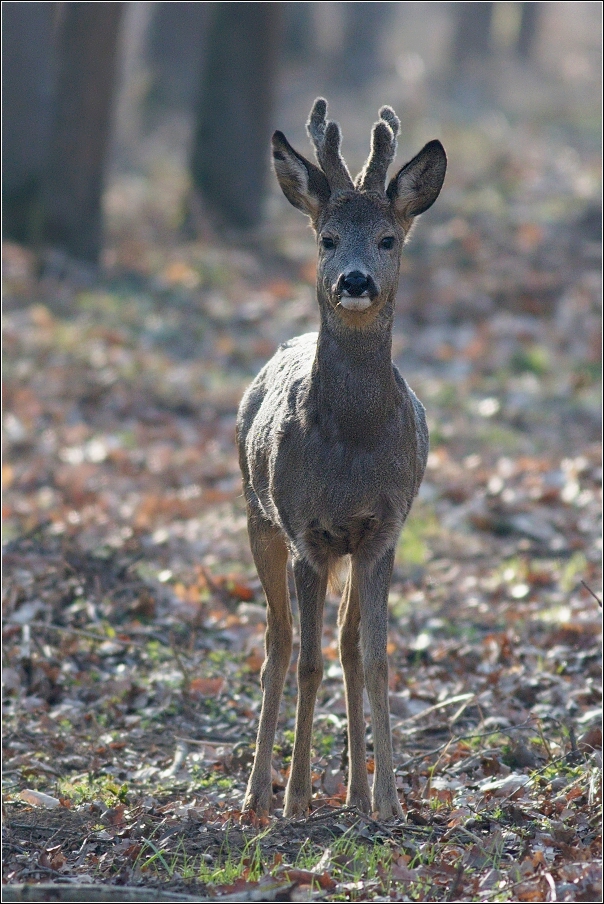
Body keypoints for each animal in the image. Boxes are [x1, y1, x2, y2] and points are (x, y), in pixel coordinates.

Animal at [236, 99, 444, 820]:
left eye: (388, 239)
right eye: (326, 239)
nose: (354, 281)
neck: (353, 447)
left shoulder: (383, 531)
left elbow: (374, 657)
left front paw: (390, 801)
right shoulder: (306, 531)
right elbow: (307, 661)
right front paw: (297, 797)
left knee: (349, 647)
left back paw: (355, 795)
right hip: (257, 515)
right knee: (276, 646)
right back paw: (257, 797)